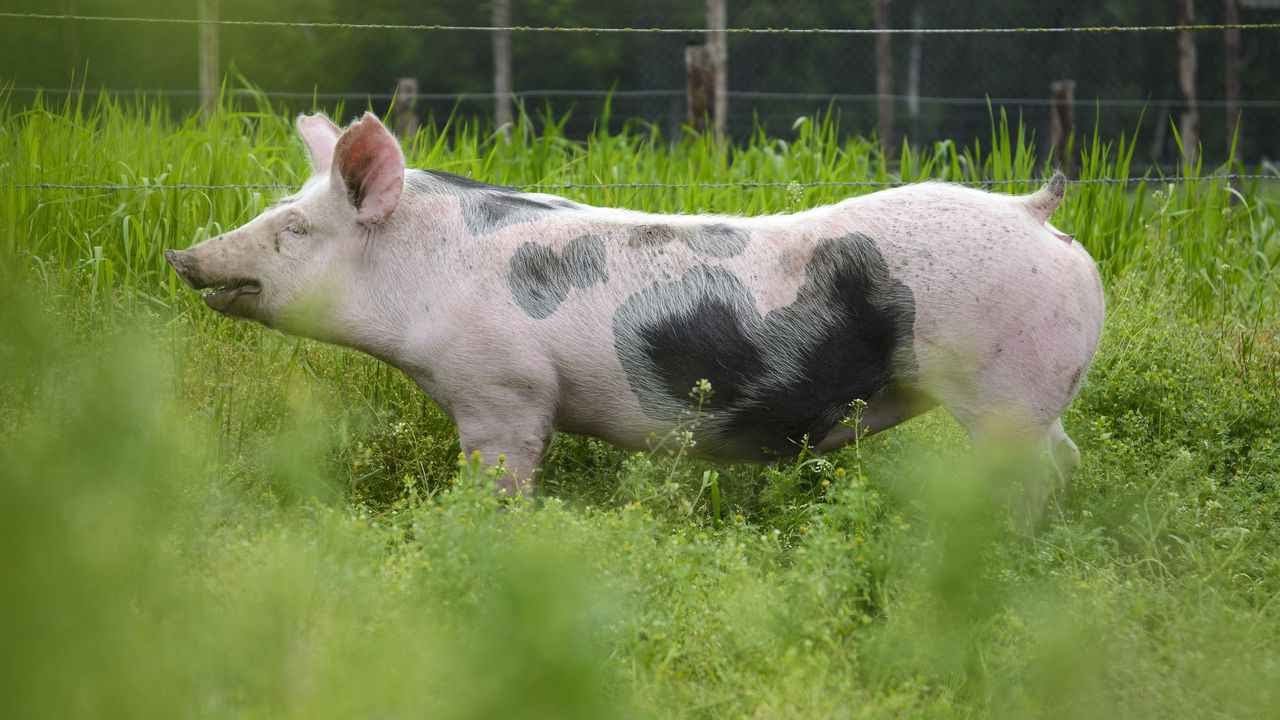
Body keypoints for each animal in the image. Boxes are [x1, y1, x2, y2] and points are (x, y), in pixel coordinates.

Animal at [166, 112, 1104, 507]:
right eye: (278, 210)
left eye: (294, 229)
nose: (182, 255)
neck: (425, 276)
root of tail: (1035, 211)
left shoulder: (503, 392)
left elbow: (501, 481)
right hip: (1037, 396)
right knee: (1069, 459)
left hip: (1004, 387)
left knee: (1035, 473)